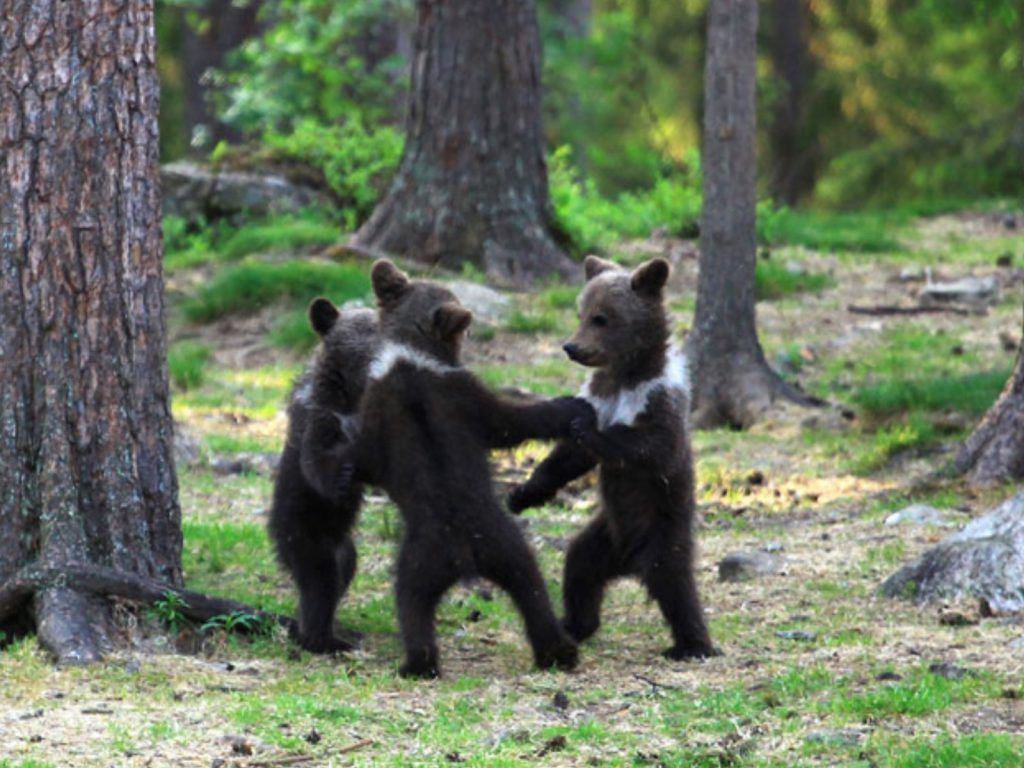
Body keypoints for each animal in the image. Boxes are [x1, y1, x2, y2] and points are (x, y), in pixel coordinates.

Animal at [267, 298, 379, 653]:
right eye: (365, 333)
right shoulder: (320, 421)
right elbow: (317, 465)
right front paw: (342, 482)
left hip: (343, 545)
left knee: (342, 573)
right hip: (303, 532)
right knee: (320, 581)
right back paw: (325, 639)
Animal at [331, 259, 595, 678]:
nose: (470, 327)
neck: (411, 354)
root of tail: (465, 554)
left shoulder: (426, 402)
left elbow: (511, 421)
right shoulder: (457, 398)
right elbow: (512, 421)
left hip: (443, 556)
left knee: (416, 604)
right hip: (493, 549)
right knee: (527, 590)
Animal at [507, 255, 718, 661]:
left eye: (602, 318)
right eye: (581, 312)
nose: (571, 346)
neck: (627, 374)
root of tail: (630, 561)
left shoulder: (660, 400)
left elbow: (649, 448)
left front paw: (586, 429)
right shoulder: (600, 395)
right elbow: (568, 459)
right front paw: (522, 494)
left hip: (662, 527)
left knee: (674, 581)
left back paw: (692, 644)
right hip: (604, 535)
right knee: (579, 568)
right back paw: (576, 624)